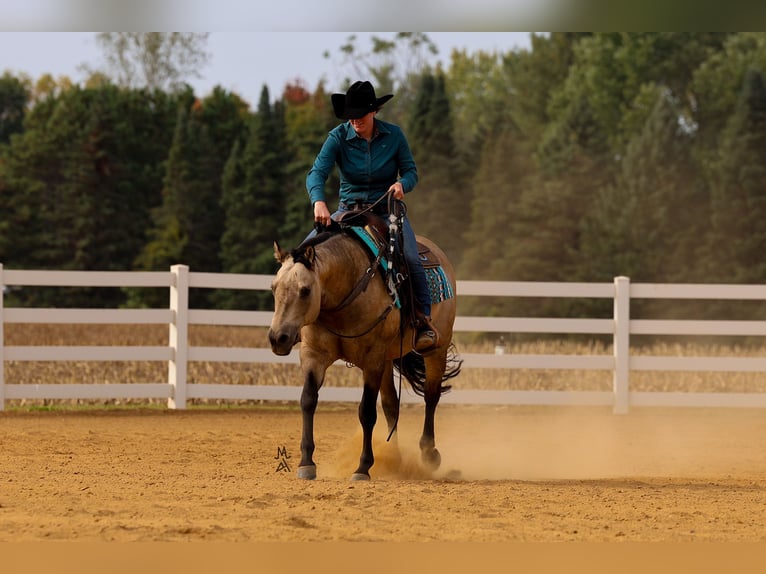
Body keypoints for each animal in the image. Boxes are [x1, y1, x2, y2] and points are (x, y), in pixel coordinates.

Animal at [268, 218, 461, 481]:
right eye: (273, 287)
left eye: (305, 290)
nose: (278, 338)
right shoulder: (313, 355)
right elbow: (308, 400)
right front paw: (306, 463)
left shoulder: (372, 360)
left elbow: (367, 411)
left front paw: (362, 467)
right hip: (388, 359)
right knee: (391, 405)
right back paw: (394, 458)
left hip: (435, 349)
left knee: (431, 396)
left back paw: (429, 454)